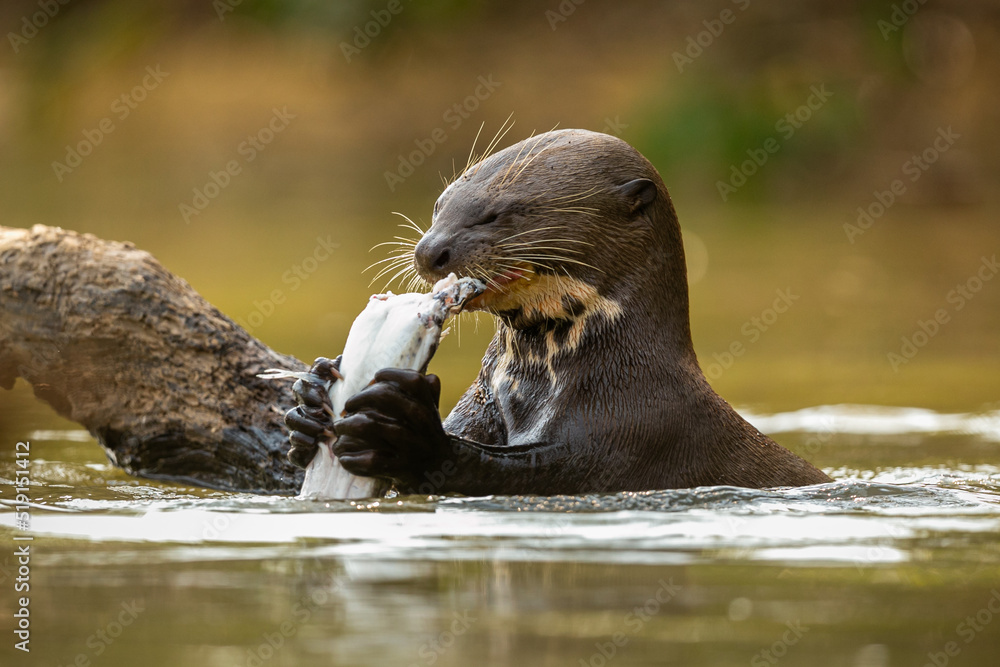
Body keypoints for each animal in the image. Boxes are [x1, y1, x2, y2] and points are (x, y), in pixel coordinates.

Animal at [285, 129, 831, 495]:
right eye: (440, 205)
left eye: (498, 213)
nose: (429, 251)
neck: (616, 376)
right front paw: (310, 400)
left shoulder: (633, 440)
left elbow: (513, 471)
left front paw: (407, 436)